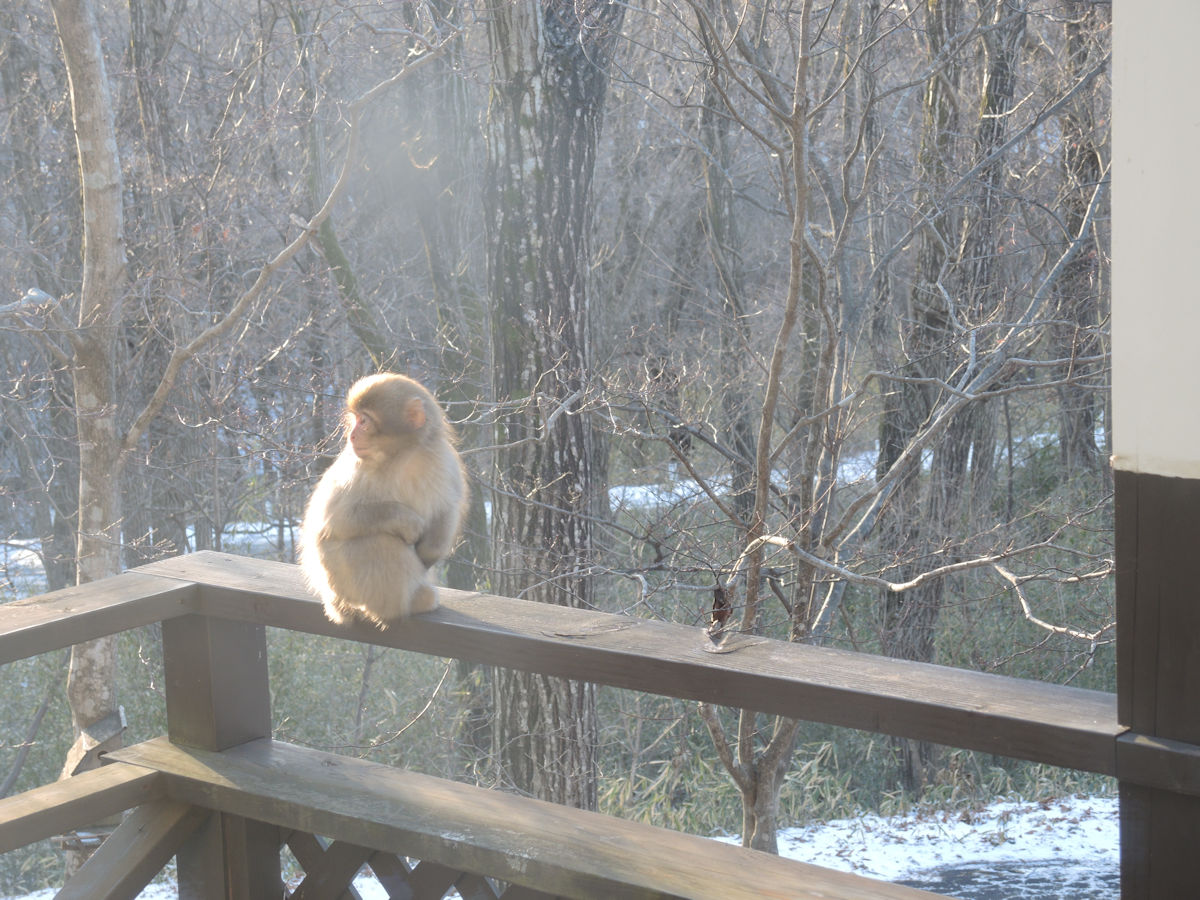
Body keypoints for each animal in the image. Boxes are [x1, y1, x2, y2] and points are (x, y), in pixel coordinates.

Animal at [297, 374, 465, 628]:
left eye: (364, 421)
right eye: (356, 420)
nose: (352, 436)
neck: (405, 455)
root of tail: (334, 597)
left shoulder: (444, 461)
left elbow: (447, 509)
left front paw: (430, 552)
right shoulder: (356, 469)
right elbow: (334, 520)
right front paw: (406, 522)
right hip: (340, 577)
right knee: (379, 542)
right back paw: (402, 606)